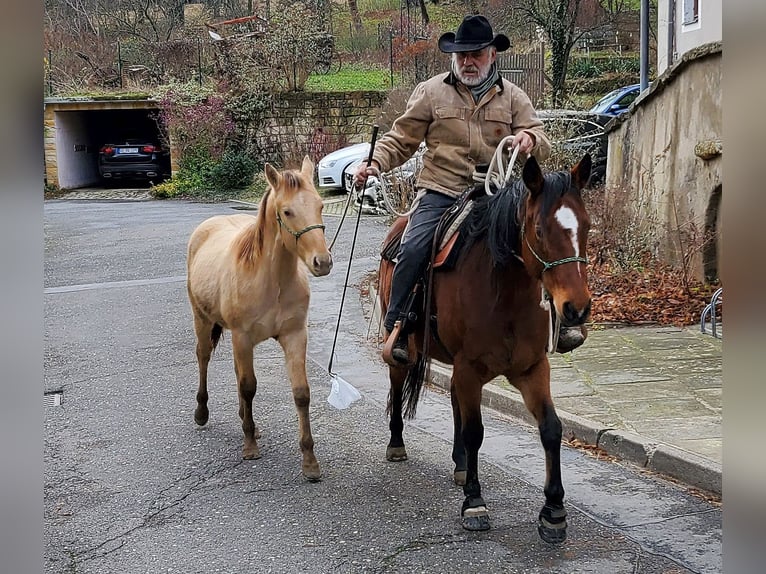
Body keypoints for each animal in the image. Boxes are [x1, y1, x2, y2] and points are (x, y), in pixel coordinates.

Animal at [187, 156, 332, 482]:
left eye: (320, 205)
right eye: (287, 211)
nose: (322, 262)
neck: (271, 282)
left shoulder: (294, 336)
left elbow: (301, 393)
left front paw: (310, 462)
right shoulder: (242, 336)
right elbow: (249, 386)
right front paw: (250, 446)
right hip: (202, 320)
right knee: (204, 358)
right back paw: (202, 413)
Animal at [378, 154, 592, 544]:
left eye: (586, 226)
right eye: (540, 230)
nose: (577, 309)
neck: (504, 291)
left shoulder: (531, 368)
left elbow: (551, 429)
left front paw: (554, 511)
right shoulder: (469, 368)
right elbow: (475, 432)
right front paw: (474, 503)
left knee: (453, 401)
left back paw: (461, 464)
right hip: (406, 347)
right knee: (397, 384)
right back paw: (397, 444)